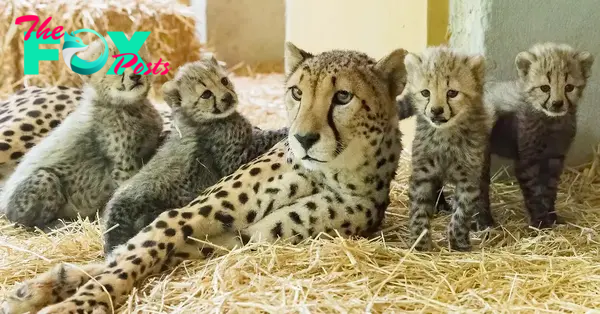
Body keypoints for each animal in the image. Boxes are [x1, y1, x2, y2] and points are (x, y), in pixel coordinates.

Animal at [0, 42, 408, 314]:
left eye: (343, 97)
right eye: (296, 92)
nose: (303, 138)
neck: (328, 172)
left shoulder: (244, 238)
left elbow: (134, 257)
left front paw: (57, 290)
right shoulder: (185, 214)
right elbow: (129, 258)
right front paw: (61, 297)